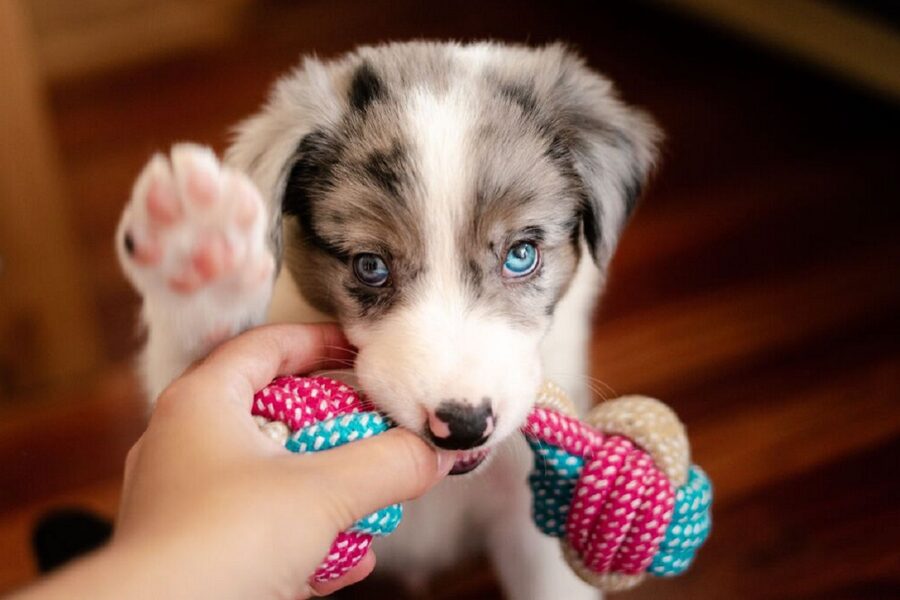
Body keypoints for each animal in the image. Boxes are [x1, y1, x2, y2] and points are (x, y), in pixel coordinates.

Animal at [116, 42, 656, 600]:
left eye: (521, 255)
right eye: (370, 266)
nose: (463, 427)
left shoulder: (526, 526)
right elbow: (198, 364)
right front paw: (196, 245)